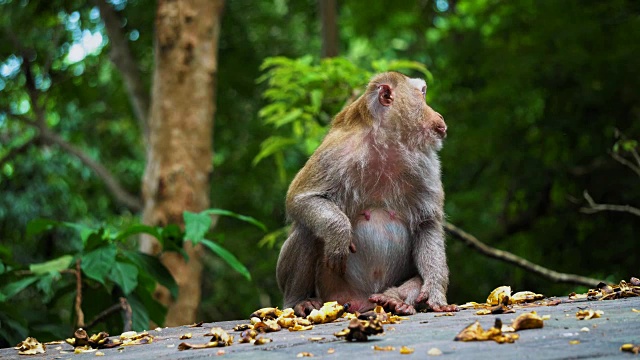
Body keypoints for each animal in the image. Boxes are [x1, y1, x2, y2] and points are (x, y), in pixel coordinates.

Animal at [276, 70, 456, 316]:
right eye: (422, 94)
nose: (438, 115)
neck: (387, 144)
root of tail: (360, 302)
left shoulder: (425, 164)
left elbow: (426, 223)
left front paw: (435, 291)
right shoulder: (336, 151)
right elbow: (300, 198)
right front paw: (339, 234)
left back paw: (395, 300)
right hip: (330, 290)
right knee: (307, 230)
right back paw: (298, 301)